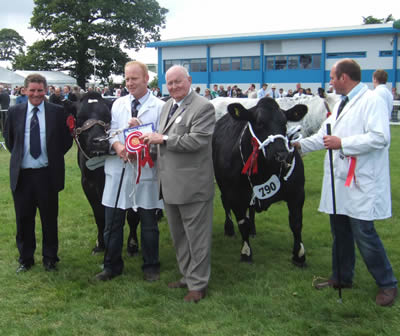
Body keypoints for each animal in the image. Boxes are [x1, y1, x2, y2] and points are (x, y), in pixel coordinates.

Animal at [64, 92, 141, 255]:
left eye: (107, 116)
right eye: (80, 117)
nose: (99, 141)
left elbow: (132, 215)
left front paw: (132, 245)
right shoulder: (88, 184)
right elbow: (99, 215)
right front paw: (100, 243)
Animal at [214, 96, 308, 266]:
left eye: (285, 124)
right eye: (258, 123)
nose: (282, 156)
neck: (266, 171)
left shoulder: (297, 192)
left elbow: (296, 223)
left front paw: (299, 255)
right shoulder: (235, 195)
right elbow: (242, 223)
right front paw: (246, 253)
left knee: (251, 209)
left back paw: (253, 229)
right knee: (225, 203)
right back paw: (229, 228)